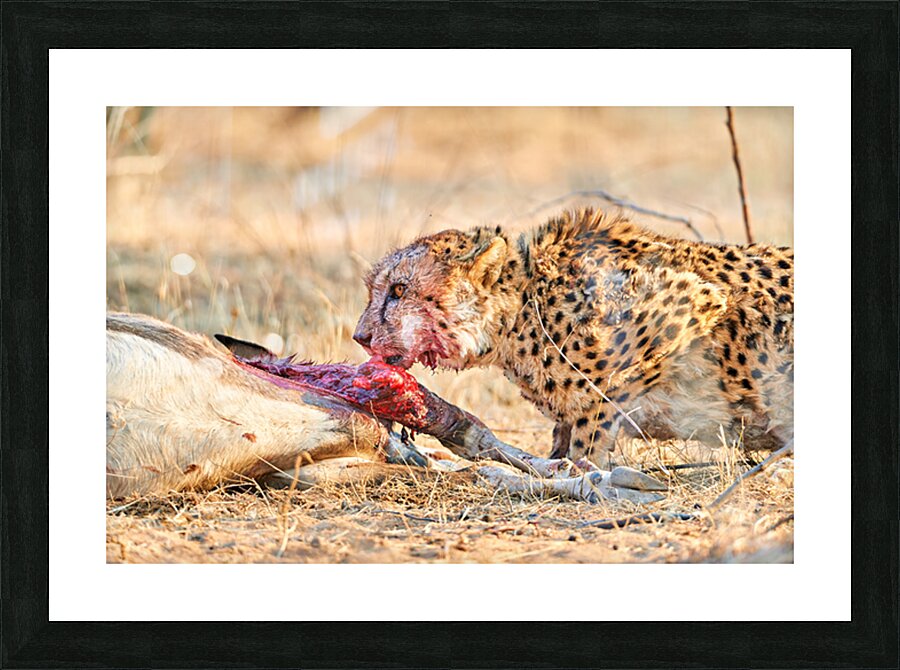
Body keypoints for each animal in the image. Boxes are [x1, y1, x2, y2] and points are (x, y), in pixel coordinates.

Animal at [353, 208, 793, 464]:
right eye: (374, 289)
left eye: (399, 290)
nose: (360, 336)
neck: (523, 309)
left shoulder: (696, 300)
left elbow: (595, 415)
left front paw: (584, 474)